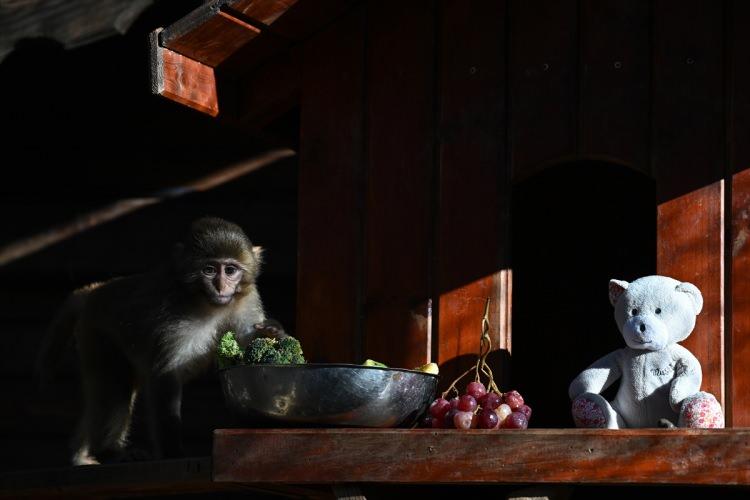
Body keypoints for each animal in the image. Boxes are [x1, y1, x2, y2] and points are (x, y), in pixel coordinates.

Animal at [36, 217, 286, 466]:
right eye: (209, 270)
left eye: (231, 270)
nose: (221, 287)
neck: (207, 303)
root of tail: (95, 291)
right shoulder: (172, 315)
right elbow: (166, 376)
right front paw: (172, 451)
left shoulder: (247, 297)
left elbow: (246, 345)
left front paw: (272, 333)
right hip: (98, 334)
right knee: (115, 385)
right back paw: (108, 451)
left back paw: (83, 455)